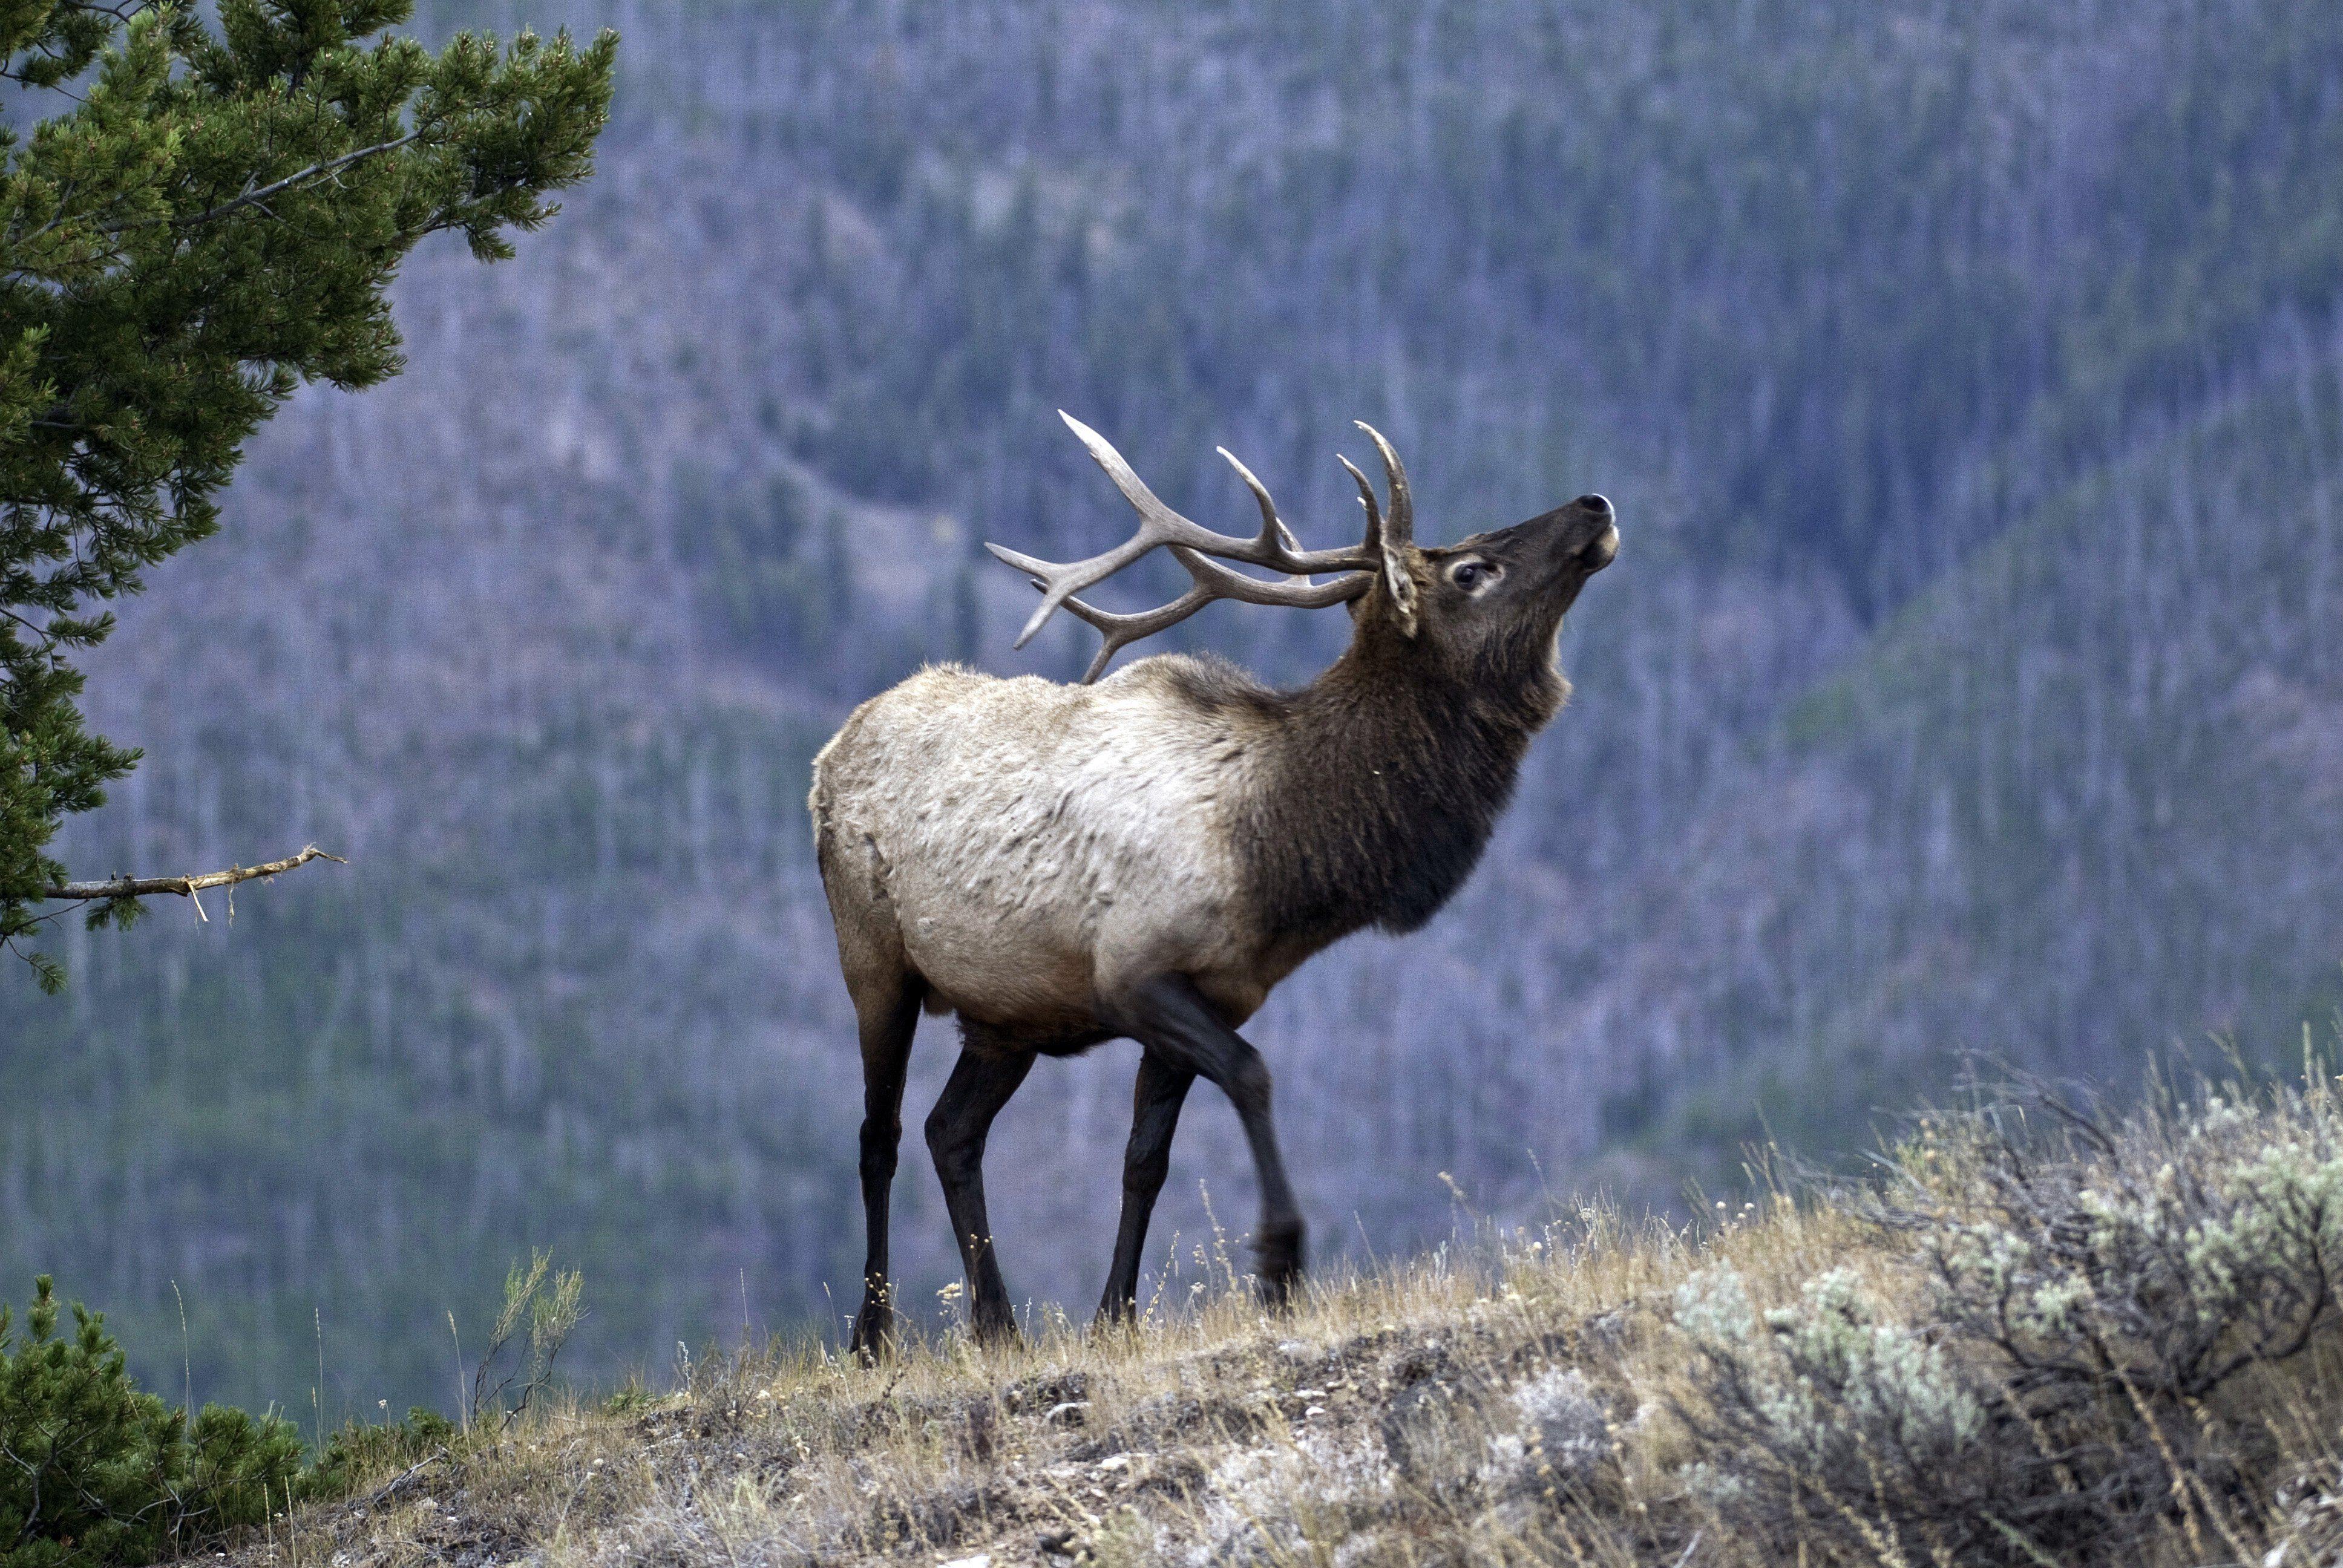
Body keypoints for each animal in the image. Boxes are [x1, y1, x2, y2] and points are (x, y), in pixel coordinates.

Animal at [810, 412, 1618, 1358]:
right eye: (1471, 570)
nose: (1595, 503)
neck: (1279, 855)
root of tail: (834, 748)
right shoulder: (1135, 976)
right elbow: (1253, 1077)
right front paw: (1280, 1264)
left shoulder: (1211, 996)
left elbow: (1145, 1161)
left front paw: (1114, 1316)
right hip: (875, 960)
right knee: (881, 1133)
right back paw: (873, 1334)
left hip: (1005, 1014)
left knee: (952, 1133)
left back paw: (996, 1323)